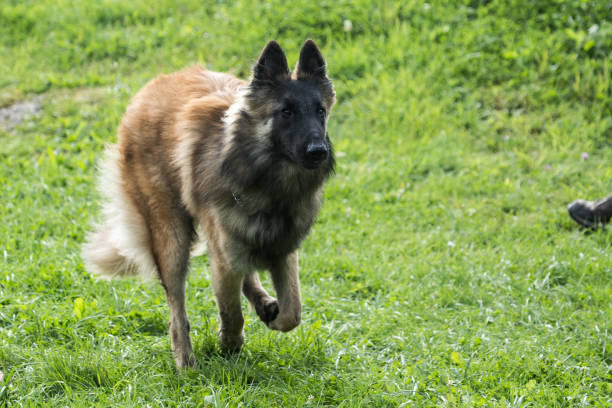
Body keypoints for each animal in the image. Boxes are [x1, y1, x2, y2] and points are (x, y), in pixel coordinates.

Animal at [82, 39, 334, 368]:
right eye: (286, 112)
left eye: (320, 111)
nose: (319, 151)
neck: (268, 186)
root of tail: (150, 88)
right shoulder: (226, 255)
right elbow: (232, 312)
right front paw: (229, 344)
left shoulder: (283, 250)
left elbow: (292, 312)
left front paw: (271, 316)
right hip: (172, 241)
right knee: (177, 309)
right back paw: (185, 361)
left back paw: (262, 303)